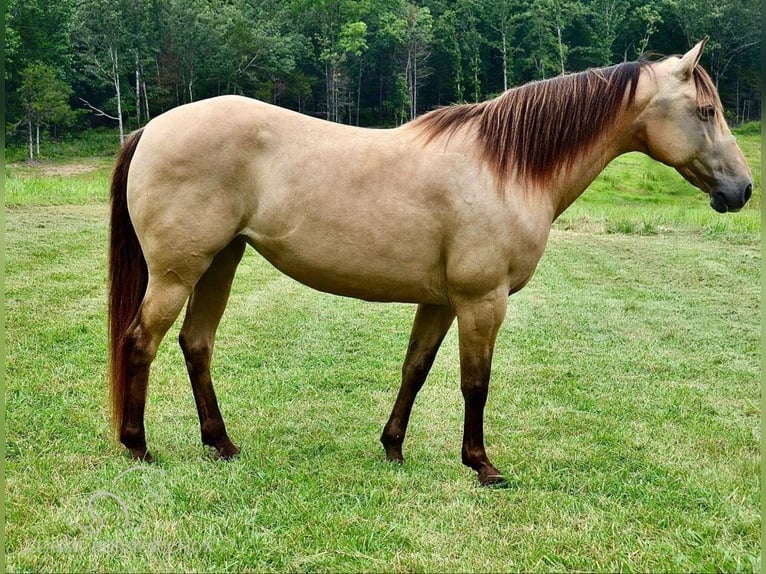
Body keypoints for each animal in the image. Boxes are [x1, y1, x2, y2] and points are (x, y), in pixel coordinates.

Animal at [108, 40, 756, 488]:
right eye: (705, 110)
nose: (743, 189)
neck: (506, 168)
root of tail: (153, 127)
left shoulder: (440, 301)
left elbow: (414, 370)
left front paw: (393, 447)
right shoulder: (480, 300)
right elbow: (476, 382)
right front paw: (482, 465)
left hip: (221, 261)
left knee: (196, 344)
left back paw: (221, 444)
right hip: (178, 272)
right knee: (141, 342)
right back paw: (138, 446)